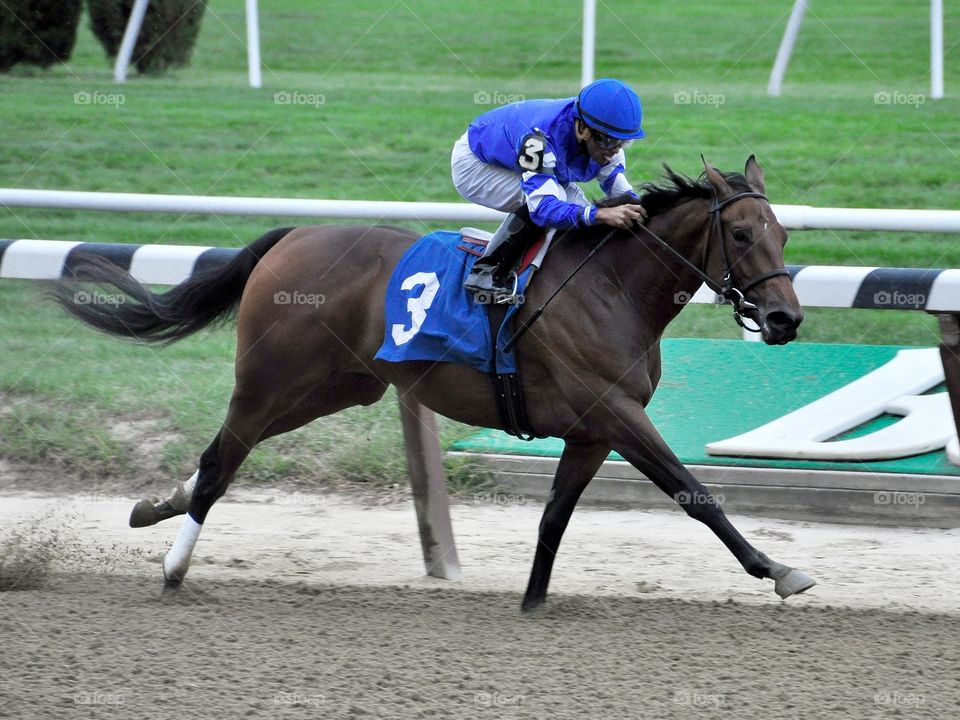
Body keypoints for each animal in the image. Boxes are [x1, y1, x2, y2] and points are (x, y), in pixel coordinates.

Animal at [52, 156, 812, 608]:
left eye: (782, 234)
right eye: (741, 236)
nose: (785, 318)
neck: (611, 285)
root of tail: (292, 236)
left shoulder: (593, 431)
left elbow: (554, 517)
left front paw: (532, 602)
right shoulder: (620, 414)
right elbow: (693, 493)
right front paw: (778, 571)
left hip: (332, 388)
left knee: (225, 454)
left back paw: (156, 506)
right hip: (271, 379)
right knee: (221, 461)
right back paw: (173, 569)